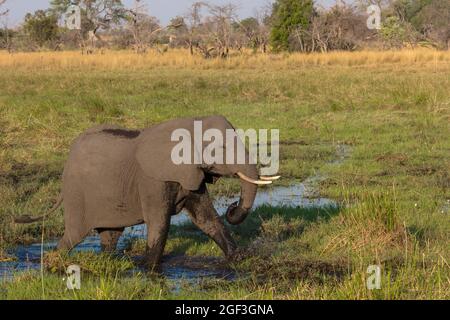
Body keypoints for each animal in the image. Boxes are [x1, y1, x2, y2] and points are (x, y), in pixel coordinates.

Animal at [14, 115, 278, 270]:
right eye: (220, 148)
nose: (233, 207)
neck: (187, 126)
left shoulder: (189, 174)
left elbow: (207, 219)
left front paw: (240, 259)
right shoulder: (152, 180)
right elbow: (159, 222)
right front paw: (149, 269)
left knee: (110, 234)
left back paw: (109, 261)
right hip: (77, 194)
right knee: (73, 236)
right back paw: (51, 262)